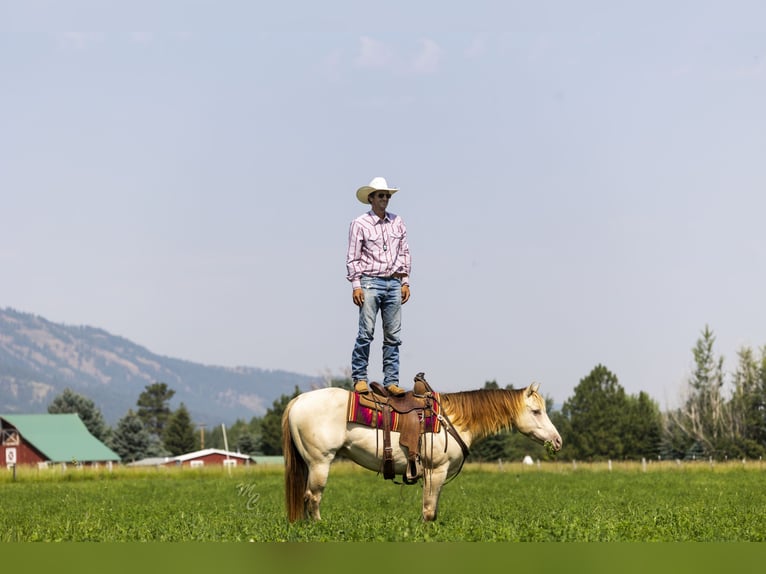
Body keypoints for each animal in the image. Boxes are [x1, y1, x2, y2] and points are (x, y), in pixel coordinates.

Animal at [282, 380, 564, 524]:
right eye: (536, 411)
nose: (557, 441)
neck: (452, 419)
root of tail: (299, 400)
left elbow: (432, 509)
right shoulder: (435, 471)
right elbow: (429, 510)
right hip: (320, 462)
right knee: (312, 497)